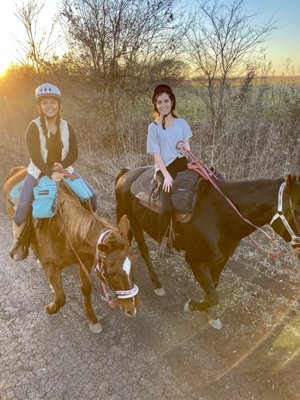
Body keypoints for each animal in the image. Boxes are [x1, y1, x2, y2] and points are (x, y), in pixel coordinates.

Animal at [2, 166, 139, 332]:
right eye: (112, 273)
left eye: (133, 265)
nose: (132, 309)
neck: (66, 233)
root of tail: (17, 169)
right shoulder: (51, 266)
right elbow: (61, 297)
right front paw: (51, 308)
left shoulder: (84, 261)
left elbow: (86, 289)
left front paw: (92, 320)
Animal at [115, 167, 300, 330]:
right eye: (297, 211)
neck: (222, 215)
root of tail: (127, 173)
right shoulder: (194, 260)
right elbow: (213, 296)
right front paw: (193, 306)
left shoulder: (221, 259)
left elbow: (213, 288)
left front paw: (210, 314)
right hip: (132, 221)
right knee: (143, 250)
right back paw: (156, 284)